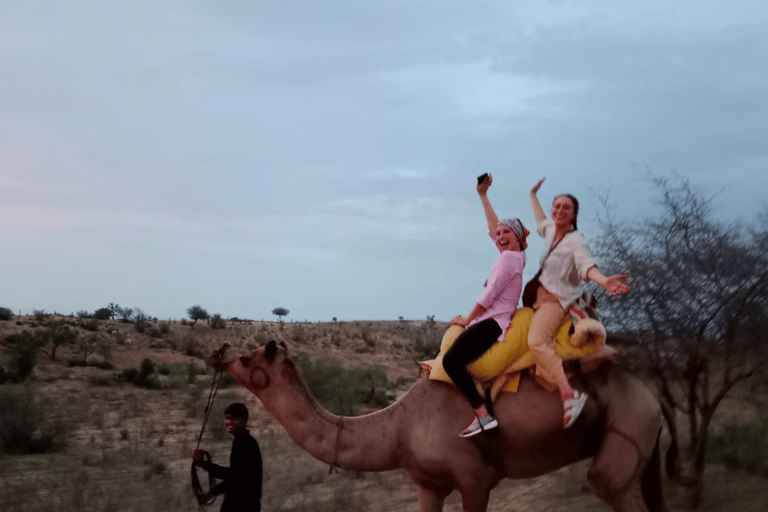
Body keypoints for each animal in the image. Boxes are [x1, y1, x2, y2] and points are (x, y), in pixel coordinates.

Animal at [208, 336, 664, 512]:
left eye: (247, 358)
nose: (219, 351)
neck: (398, 427)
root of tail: (651, 395)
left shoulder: (475, 478)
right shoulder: (429, 484)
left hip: (627, 430)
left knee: (609, 481)